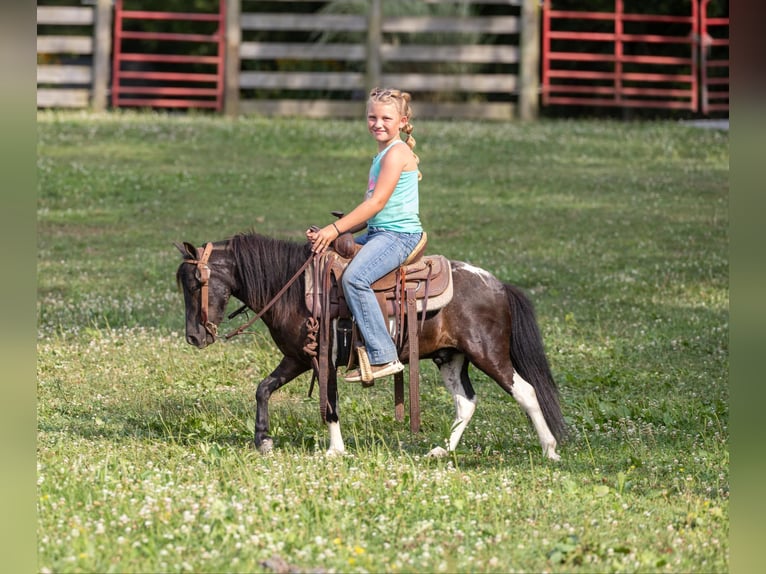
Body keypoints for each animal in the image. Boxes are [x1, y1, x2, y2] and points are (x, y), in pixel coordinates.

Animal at [177, 232, 568, 462]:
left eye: (195, 283)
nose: (195, 337)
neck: (294, 289)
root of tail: (498, 285)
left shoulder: (321, 359)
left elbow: (329, 403)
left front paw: (335, 450)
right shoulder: (297, 356)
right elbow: (264, 388)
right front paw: (263, 440)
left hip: (488, 354)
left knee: (526, 392)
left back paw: (550, 450)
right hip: (451, 358)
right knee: (466, 402)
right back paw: (441, 451)